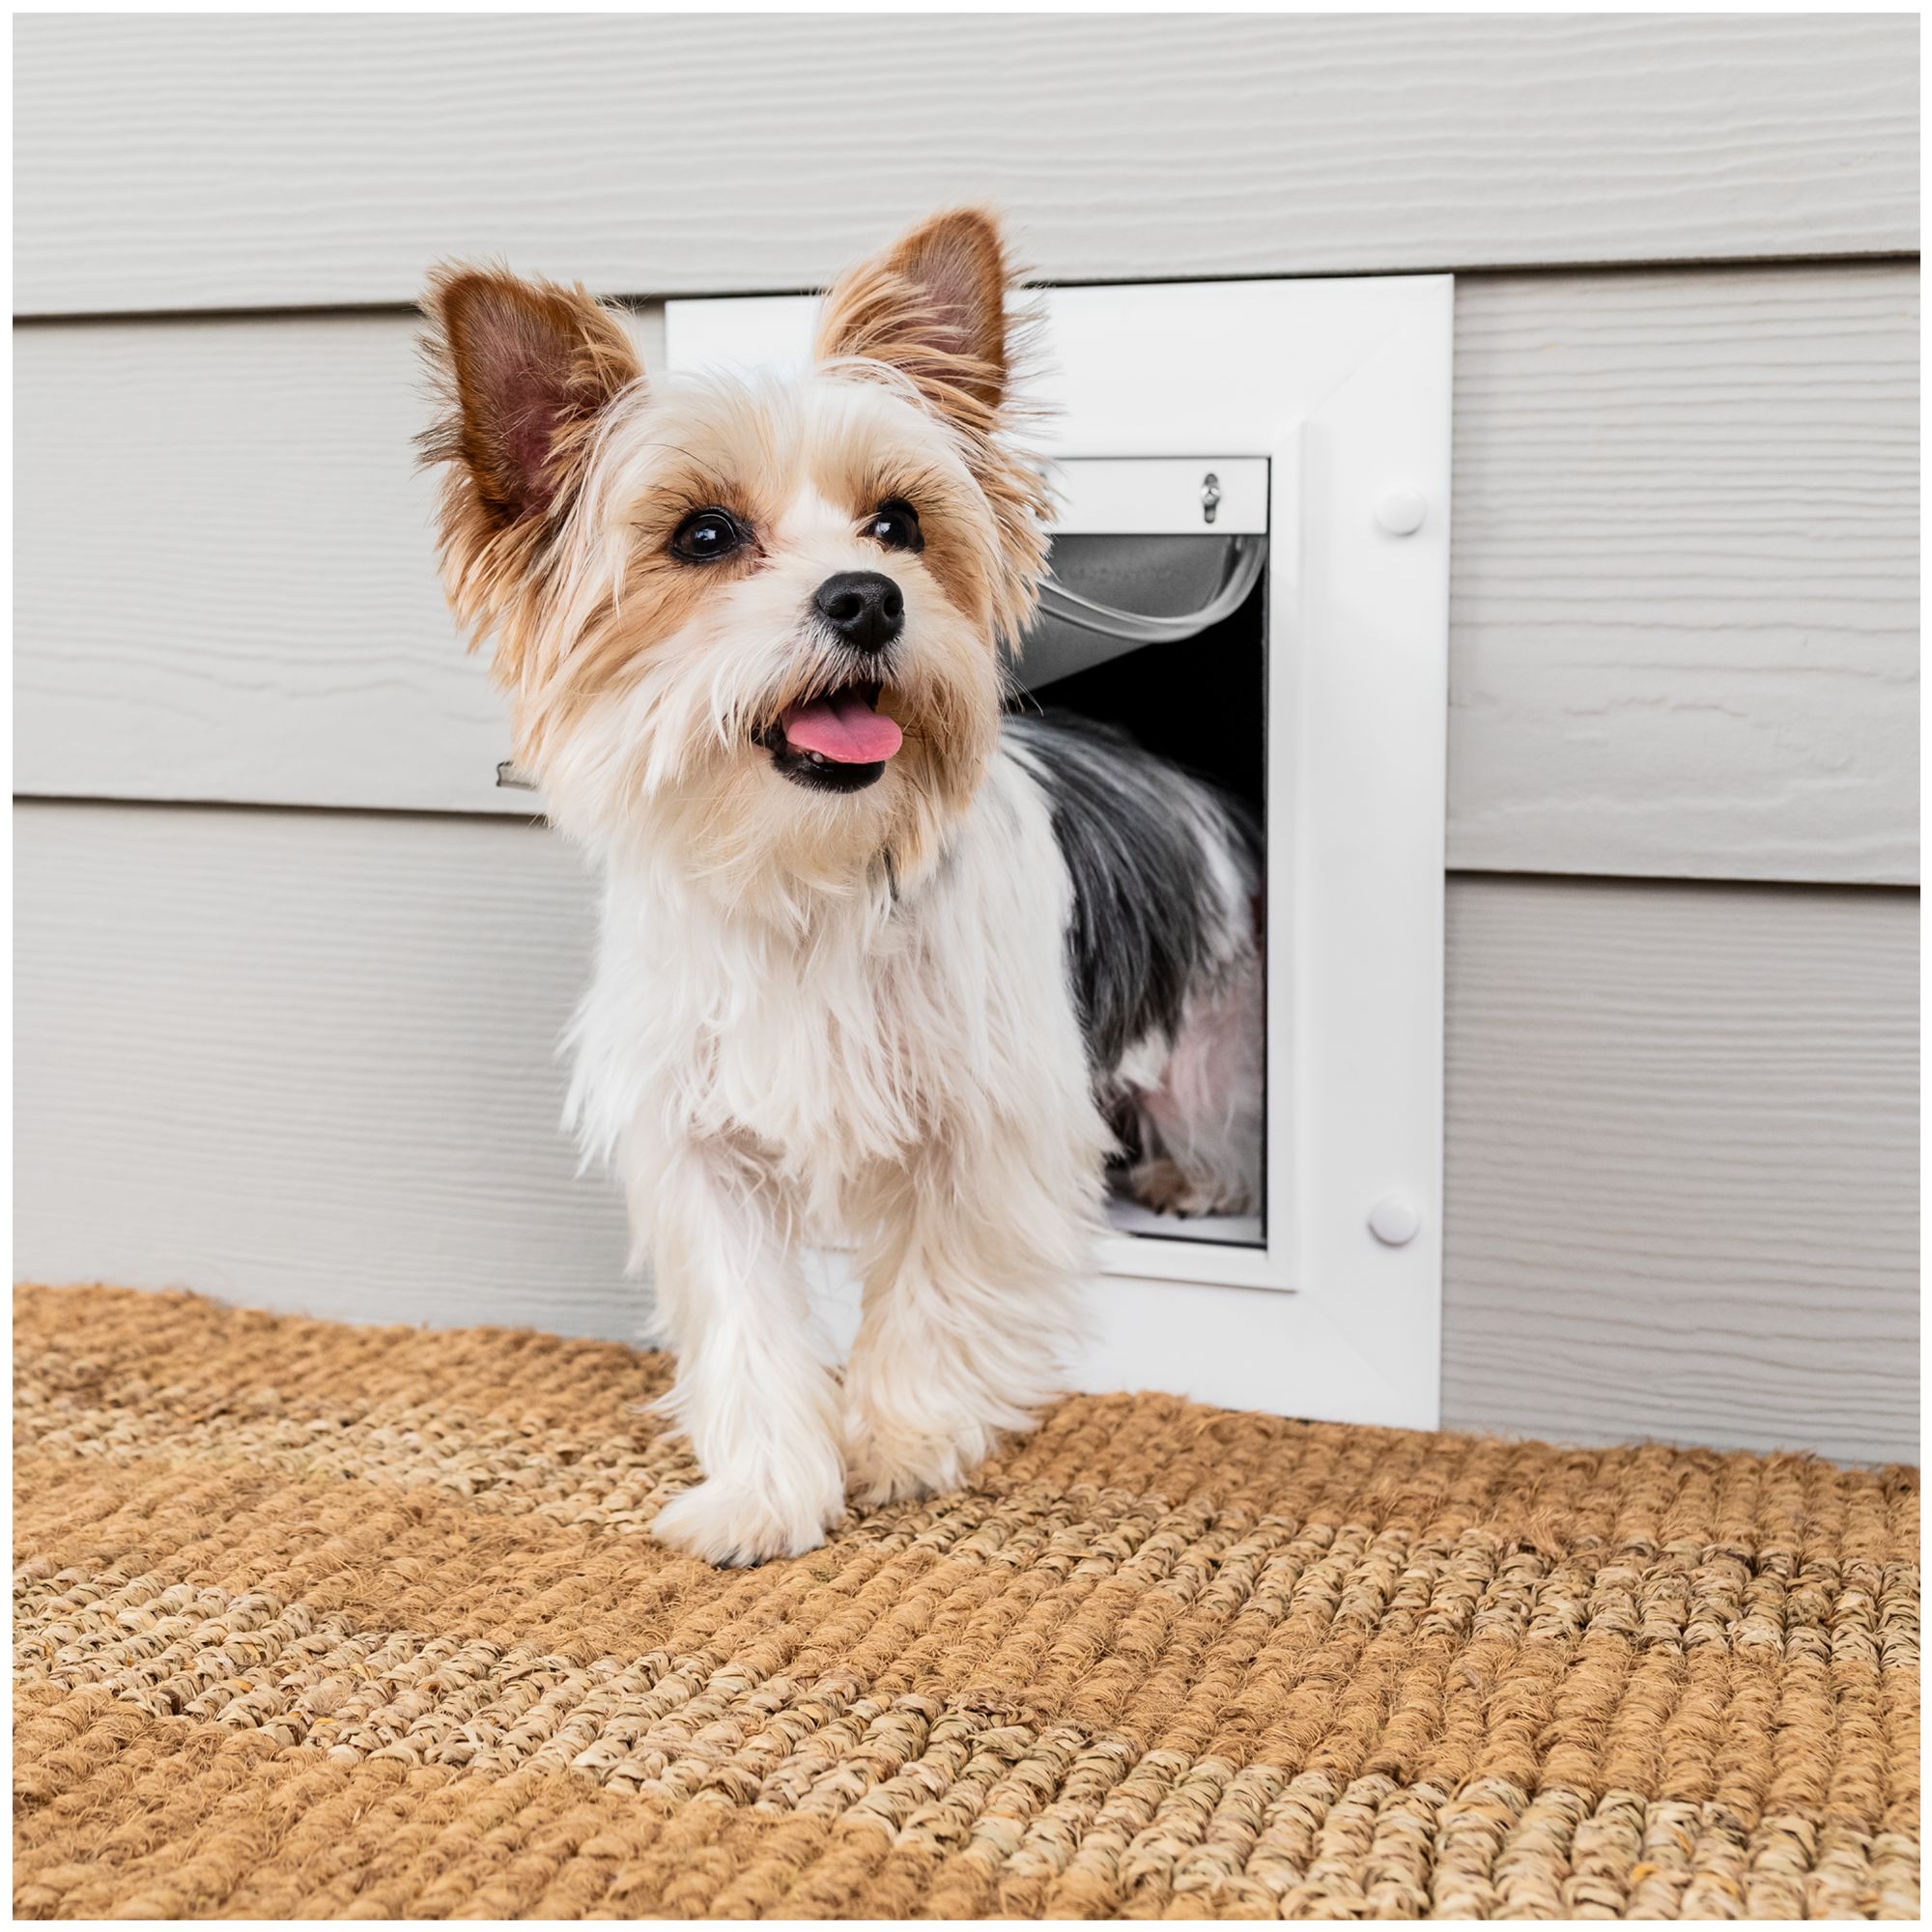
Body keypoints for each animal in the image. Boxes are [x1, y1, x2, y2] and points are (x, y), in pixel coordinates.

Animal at [421, 215, 1260, 1569]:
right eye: (703, 535)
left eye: (899, 523)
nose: (865, 596)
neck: (806, 868)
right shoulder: (700, 1141)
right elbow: (747, 1321)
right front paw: (764, 1488)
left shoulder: (987, 1124)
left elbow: (933, 1287)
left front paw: (903, 1440)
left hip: (1214, 1037)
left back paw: (1202, 1175)